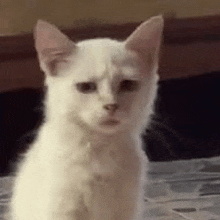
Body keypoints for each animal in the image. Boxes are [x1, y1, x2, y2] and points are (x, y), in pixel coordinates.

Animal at [8, 15, 163, 220]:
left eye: (128, 85)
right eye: (86, 87)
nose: (111, 106)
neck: (100, 150)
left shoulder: (125, 209)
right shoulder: (60, 208)